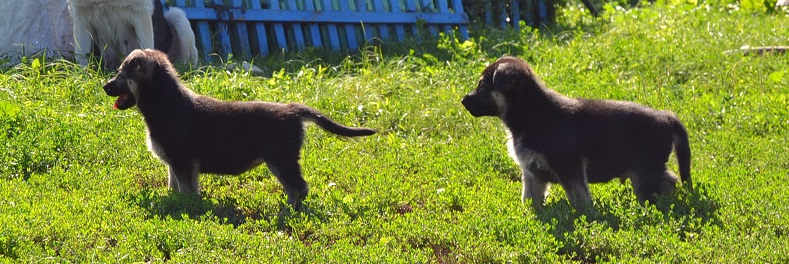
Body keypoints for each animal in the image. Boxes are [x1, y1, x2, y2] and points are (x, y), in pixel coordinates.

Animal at [102, 49, 376, 209]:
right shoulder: (174, 164)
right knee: (298, 187)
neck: (165, 102)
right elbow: (175, 188)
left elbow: (188, 192)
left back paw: (288, 211)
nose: (104, 86)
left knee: (298, 187)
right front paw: (174, 202)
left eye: (121, 75)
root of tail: (292, 110)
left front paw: (188, 209)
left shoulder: (184, 163)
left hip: (280, 159)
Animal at [462, 56, 688, 208]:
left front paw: (586, 217)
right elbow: (529, 199)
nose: (463, 101)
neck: (532, 112)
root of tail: (667, 118)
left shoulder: (569, 169)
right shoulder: (532, 173)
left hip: (644, 172)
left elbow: (579, 198)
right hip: (649, 169)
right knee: (670, 181)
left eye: (482, 86)